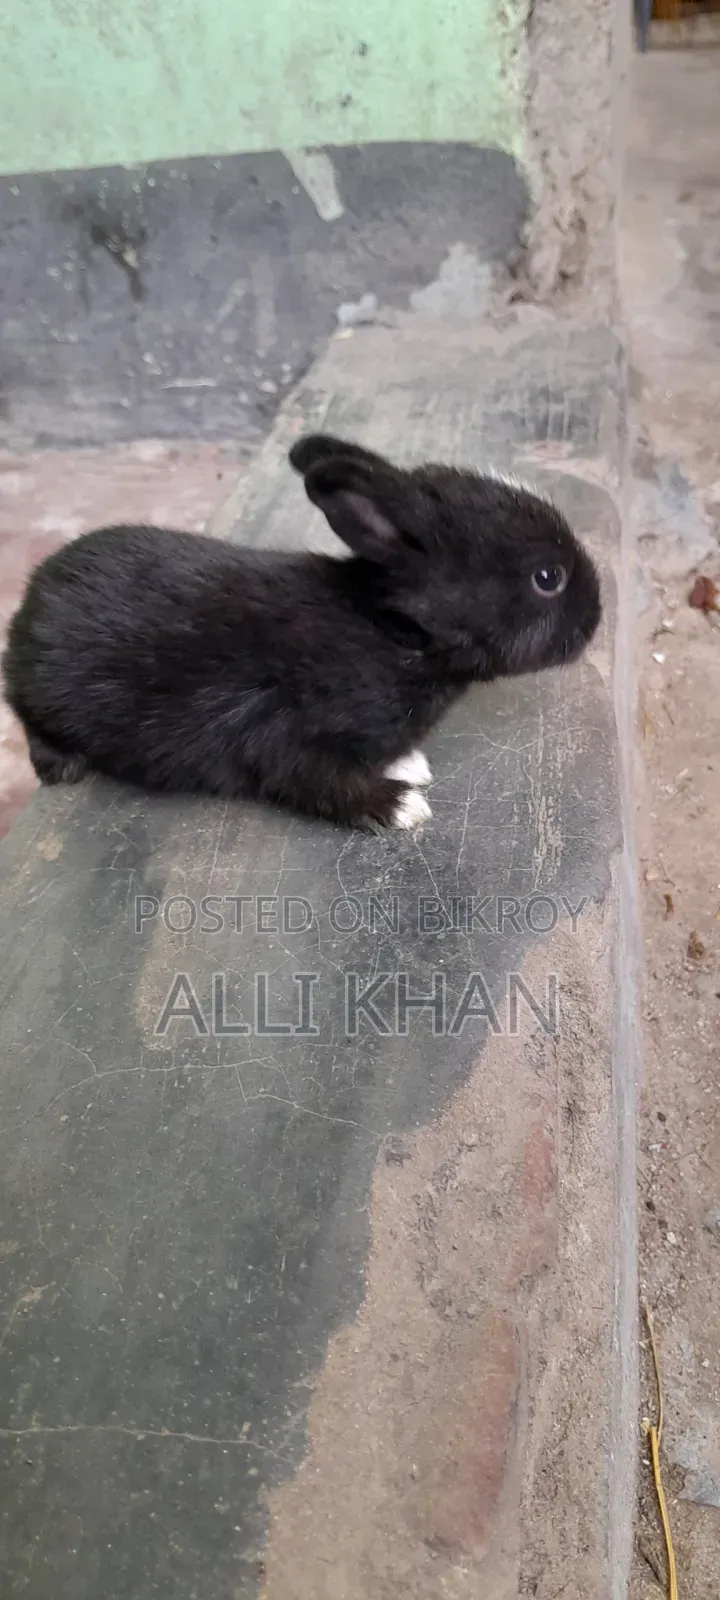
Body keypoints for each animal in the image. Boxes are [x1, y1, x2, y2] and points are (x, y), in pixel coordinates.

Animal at [2, 434, 601, 832]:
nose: (596, 617)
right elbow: (320, 782)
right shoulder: (283, 730)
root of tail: (32, 597)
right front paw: (401, 805)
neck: (398, 635)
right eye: (548, 578)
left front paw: (406, 762)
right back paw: (61, 764)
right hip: (41, 694)